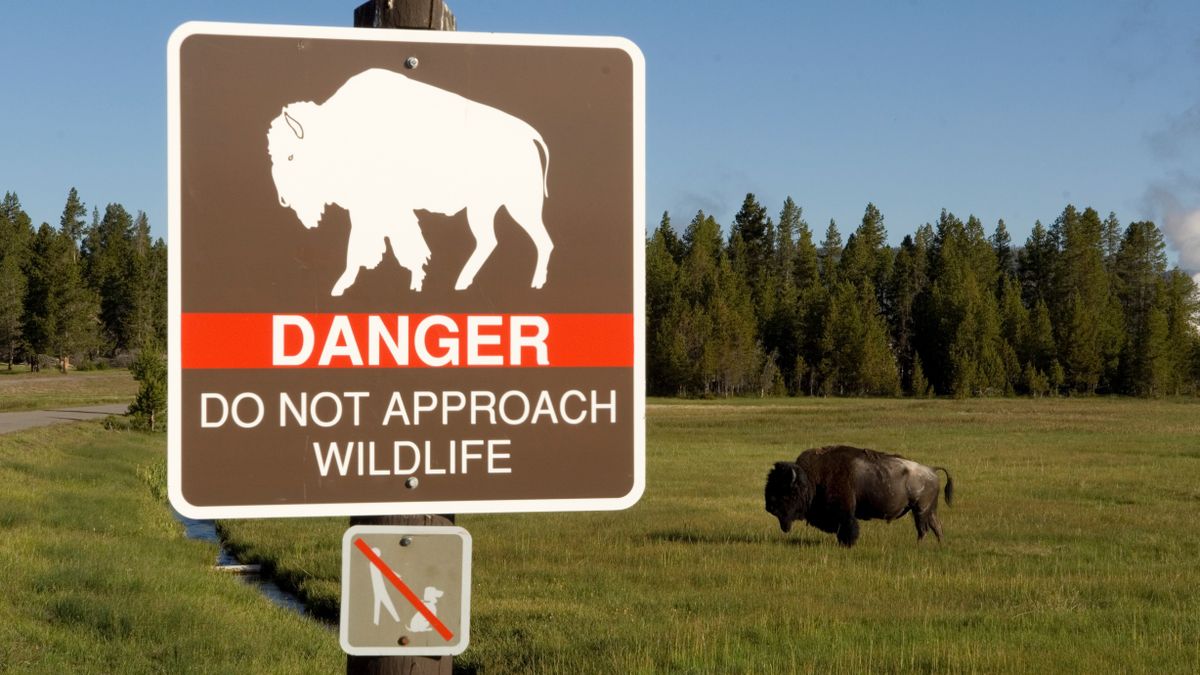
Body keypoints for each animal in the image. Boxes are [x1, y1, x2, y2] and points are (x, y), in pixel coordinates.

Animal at [267, 66, 552, 295]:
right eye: (272, 155)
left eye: (291, 155)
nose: (283, 199)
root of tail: (529, 135)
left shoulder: (376, 208)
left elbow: (367, 247)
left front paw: (342, 286)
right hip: (483, 208)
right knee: (491, 241)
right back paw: (462, 283)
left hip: (519, 206)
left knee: (540, 241)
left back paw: (532, 283)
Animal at [763, 444, 950, 542]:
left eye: (788, 493)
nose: (770, 508)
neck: (812, 479)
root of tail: (932, 470)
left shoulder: (845, 512)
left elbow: (847, 527)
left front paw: (847, 543)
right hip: (928, 510)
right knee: (936, 527)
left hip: (920, 510)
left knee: (923, 529)